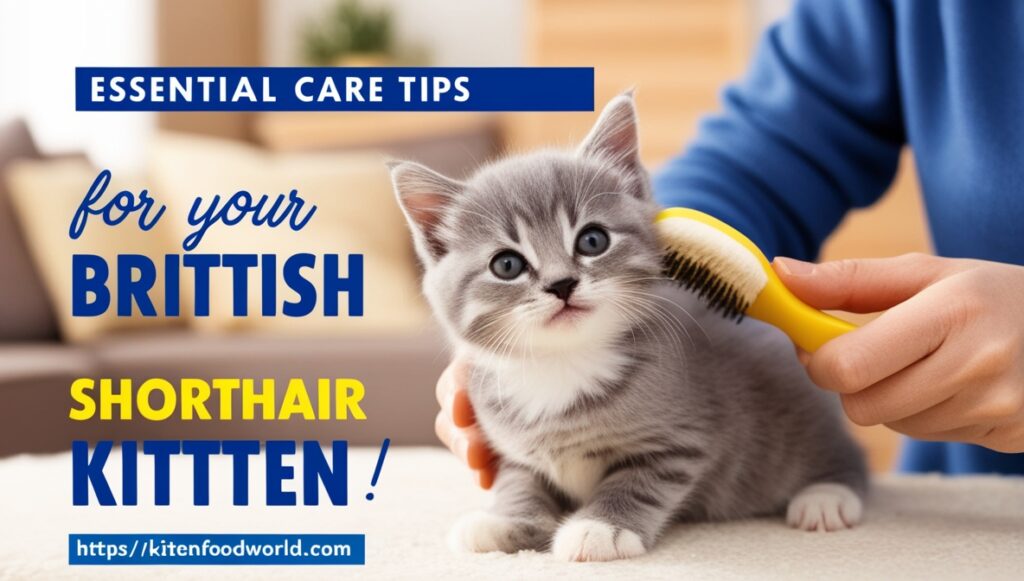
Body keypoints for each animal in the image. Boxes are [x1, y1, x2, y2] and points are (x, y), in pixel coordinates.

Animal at [387, 93, 868, 561]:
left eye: (592, 240)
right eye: (506, 265)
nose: (562, 284)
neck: (563, 364)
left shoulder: (679, 439)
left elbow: (636, 483)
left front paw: (601, 528)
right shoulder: (509, 445)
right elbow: (518, 481)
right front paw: (507, 521)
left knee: (847, 459)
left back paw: (827, 496)